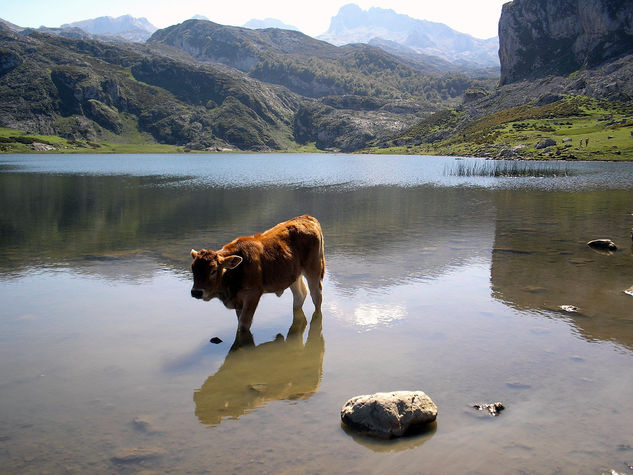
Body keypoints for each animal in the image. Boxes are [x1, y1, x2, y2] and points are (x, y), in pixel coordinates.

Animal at [190, 216, 324, 330]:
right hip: (293, 275)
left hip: (314, 270)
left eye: (213, 271)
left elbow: (243, 325)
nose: (196, 292)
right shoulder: (238, 302)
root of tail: (307, 218)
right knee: (300, 295)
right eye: (193, 269)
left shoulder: (253, 294)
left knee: (316, 296)